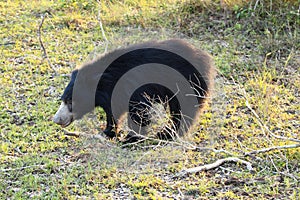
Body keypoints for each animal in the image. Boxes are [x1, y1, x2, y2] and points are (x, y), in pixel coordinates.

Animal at [52, 39, 214, 141]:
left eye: (71, 101)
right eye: (63, 99)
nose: (56, 119)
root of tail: (205, 58)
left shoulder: (133, 88)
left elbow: (139, 112)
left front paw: (130, 139)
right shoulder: (114, 95)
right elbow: (113, 112)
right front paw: (108, 132)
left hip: (186, 83)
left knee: (184, 110)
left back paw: (166, 134)